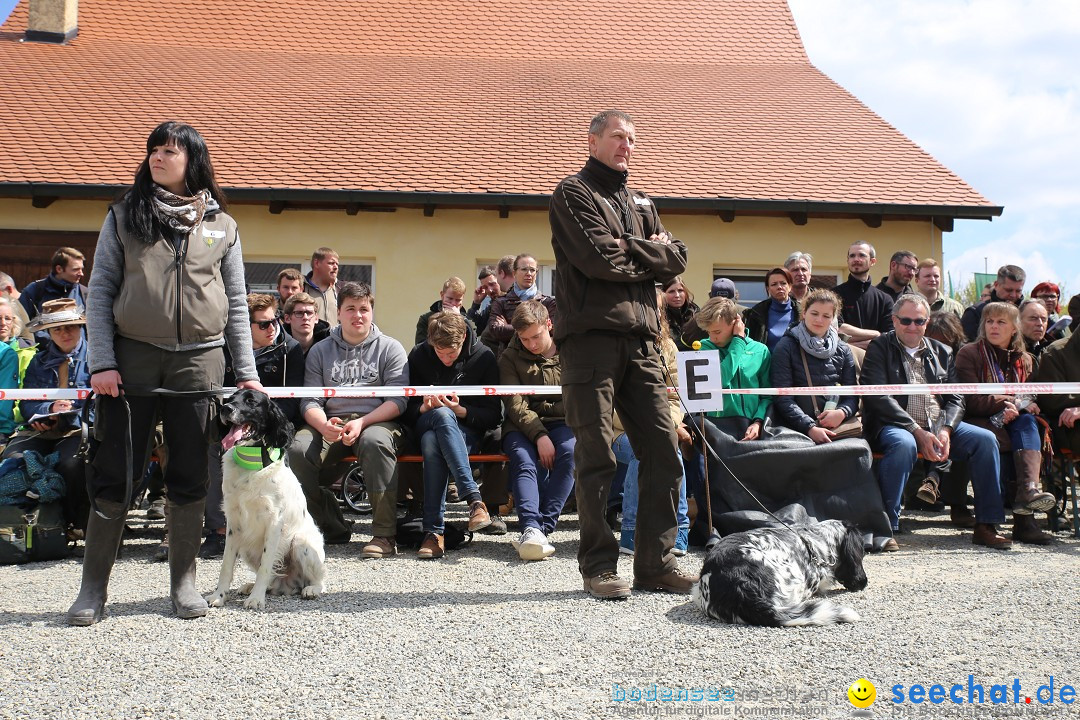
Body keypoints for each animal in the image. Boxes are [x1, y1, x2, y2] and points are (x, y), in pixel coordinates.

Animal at [203, 390, 324, 613]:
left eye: (251, 401)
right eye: (231, 398)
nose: (225, 409)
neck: (251, 465)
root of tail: (288, 586)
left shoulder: (274, 522)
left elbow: (266, 566)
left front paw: (256, 599)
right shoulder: (233, 524)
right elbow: (226, 566)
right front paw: (218, 596)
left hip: (300, 543)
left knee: (319, 578)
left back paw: (311, 589)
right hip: (247, 549)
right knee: (272, 580)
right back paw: (250, 586)